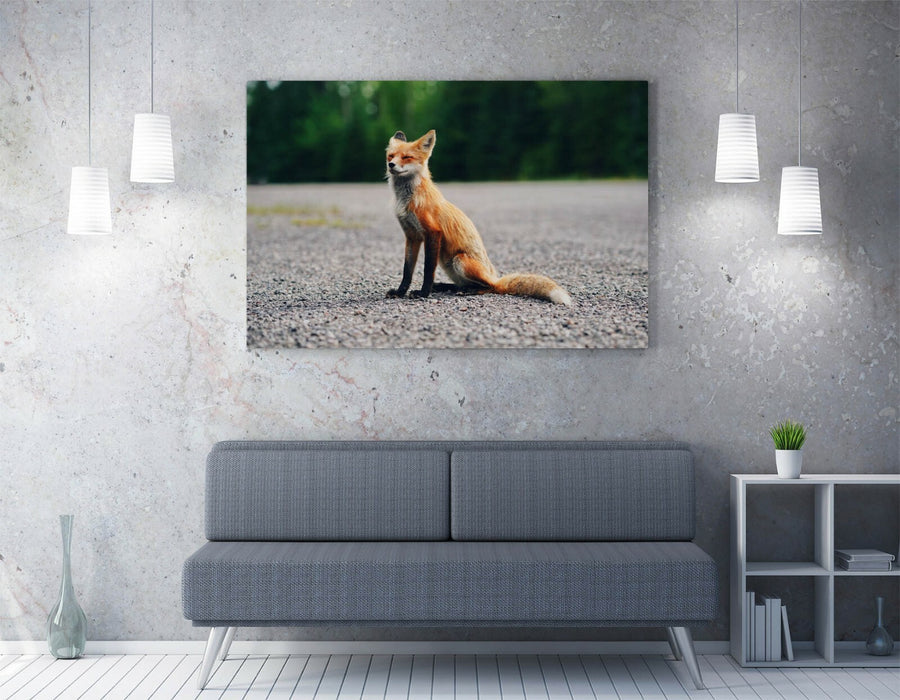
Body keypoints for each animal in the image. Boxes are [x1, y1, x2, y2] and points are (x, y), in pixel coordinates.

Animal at [385, 129, 572, 306]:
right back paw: (447, 287)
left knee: (489, 287)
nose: (391, 165)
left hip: (459, 260)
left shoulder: (433, 232)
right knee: (464, 284)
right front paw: (400, 292)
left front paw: (423, 293)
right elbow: (407, 270)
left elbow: (427, 270)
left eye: (407, 157)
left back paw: (467, 291)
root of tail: (495, 277)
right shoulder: (412, 235)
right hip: (447, 262)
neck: (407, 199)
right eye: (391, 156)